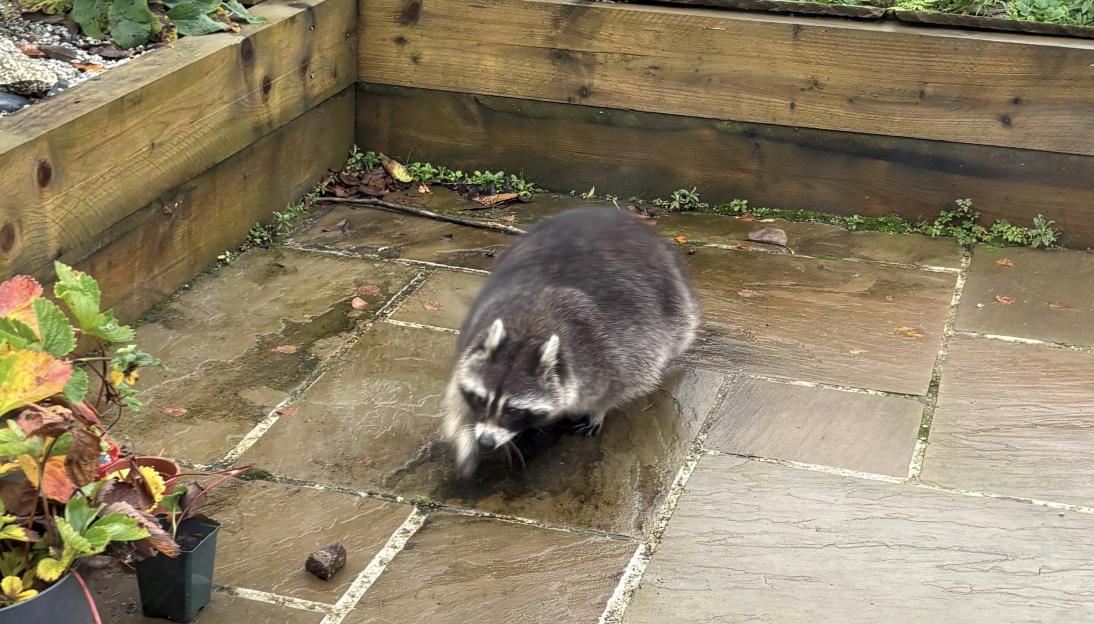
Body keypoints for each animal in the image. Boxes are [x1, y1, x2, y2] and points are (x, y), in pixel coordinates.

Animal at [441, 207, 700, 478]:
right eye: (481, 399)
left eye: (514, 410)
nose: (485, 442)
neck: (529, 329)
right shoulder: (476, 327)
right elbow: (457, 386)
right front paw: (464, 431)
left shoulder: (615, 350)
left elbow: (623, 384)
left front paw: (598, 409)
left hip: (670, 300)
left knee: (680, 333)